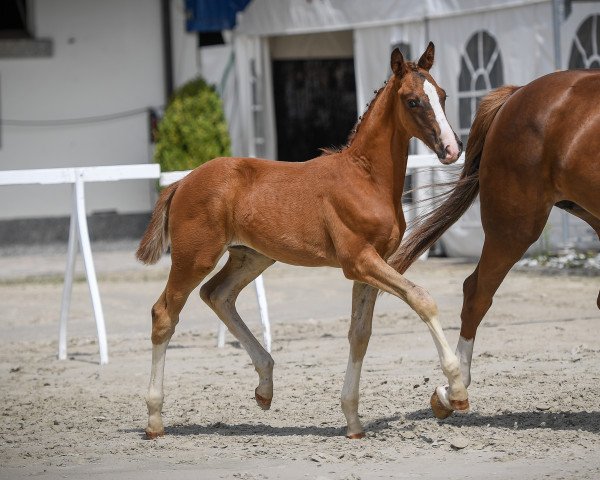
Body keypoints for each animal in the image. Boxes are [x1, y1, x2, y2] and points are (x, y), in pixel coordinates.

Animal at [137, 44, 468, 438]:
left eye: (443, 95)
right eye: (413, 100)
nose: (452, 148)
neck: (365, 177)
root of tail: (182, 182)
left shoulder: (372, 265)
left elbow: (360, 334)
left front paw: (353, 420)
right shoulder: (358, 260)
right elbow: (422, 299)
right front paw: (456, 390)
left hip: (251, 256)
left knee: (217, 295)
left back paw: (265, 386)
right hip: (195, 257)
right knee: (164, 313)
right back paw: (154, 418)